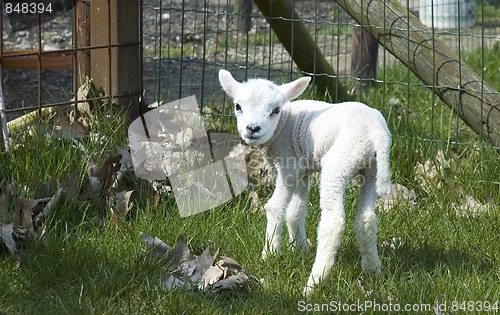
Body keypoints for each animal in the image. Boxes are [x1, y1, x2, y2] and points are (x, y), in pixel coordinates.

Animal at [218, 69, 390, 296]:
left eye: (275, 110)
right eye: (238, 106)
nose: (253, 128)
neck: (285, 123)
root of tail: (377, 133)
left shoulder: (288, 165)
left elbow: (276, 207)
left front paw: (270, 253)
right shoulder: (303, 168)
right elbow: (296, 210)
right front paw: (299, 249)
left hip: (339, 163)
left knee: (333, 221)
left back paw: (314, 284)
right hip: (372, 168)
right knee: (366, 219)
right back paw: (373, 270)